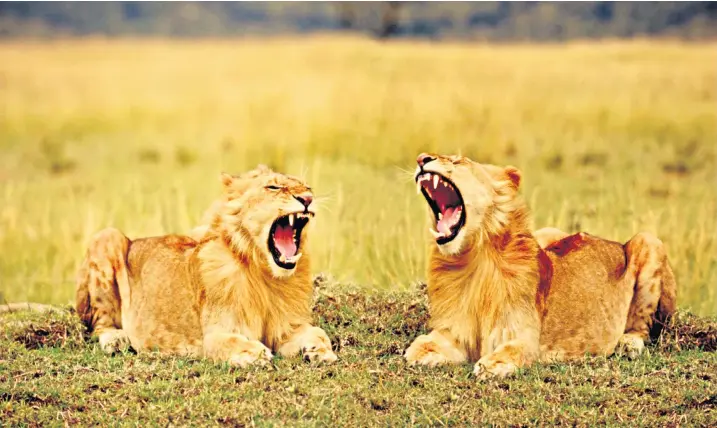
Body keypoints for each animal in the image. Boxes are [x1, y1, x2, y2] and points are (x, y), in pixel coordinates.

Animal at [74, 166, 338, 366]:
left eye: (307, 187)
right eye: (273, 187)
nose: (308, 199)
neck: (265, 275)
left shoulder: (286, 328)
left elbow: (317, 331)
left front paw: (321, 350)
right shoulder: (213, 335)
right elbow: (229, 343)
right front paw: (255, 353)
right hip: (107, 236)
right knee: (99, 324)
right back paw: (115, 340)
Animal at [406, 152, 676, 376]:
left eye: (458, 161)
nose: (421, 158)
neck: (471, 260)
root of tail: (612, 242)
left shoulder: (526, 337)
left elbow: (515, 351)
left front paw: (491, 365)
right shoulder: (457, 332)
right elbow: (424, 344)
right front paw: (419, 351)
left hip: (648, 241)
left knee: (643, 325)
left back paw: (628, 344)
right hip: (548, 232)